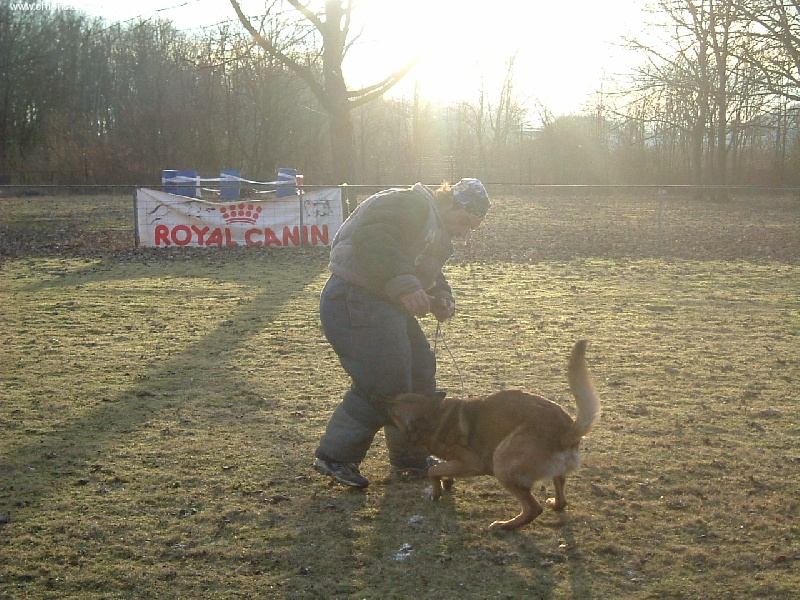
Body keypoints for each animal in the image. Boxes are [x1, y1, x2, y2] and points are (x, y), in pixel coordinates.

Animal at [382, 340, 600, 532]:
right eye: (396, 398)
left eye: (392, 408)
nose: (382, 398)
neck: (435, 417)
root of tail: (566, 432)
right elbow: (443, 469)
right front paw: (447, 482)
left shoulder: (472, 462)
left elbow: (433, 470)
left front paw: (436, 491)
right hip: (551, 473)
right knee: (561, 498)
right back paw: (554, 504)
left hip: (501, 462)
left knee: (533, 508)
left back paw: (505, 526)